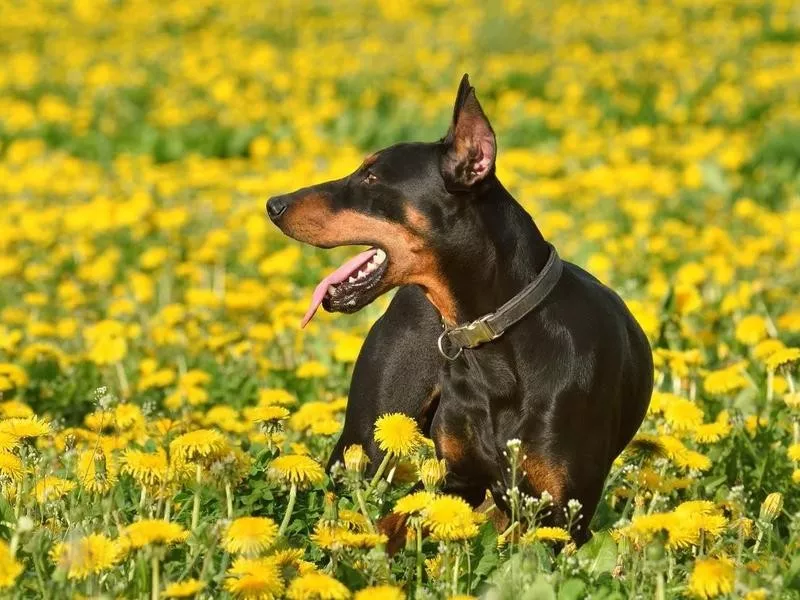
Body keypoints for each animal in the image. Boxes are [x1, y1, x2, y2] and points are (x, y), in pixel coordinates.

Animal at [266, 75, 652, 544]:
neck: (495, 339)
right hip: (367, 436)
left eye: (372, 176)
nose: (273, 204)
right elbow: (401, 520)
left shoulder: (562, 515)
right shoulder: (456, 480)